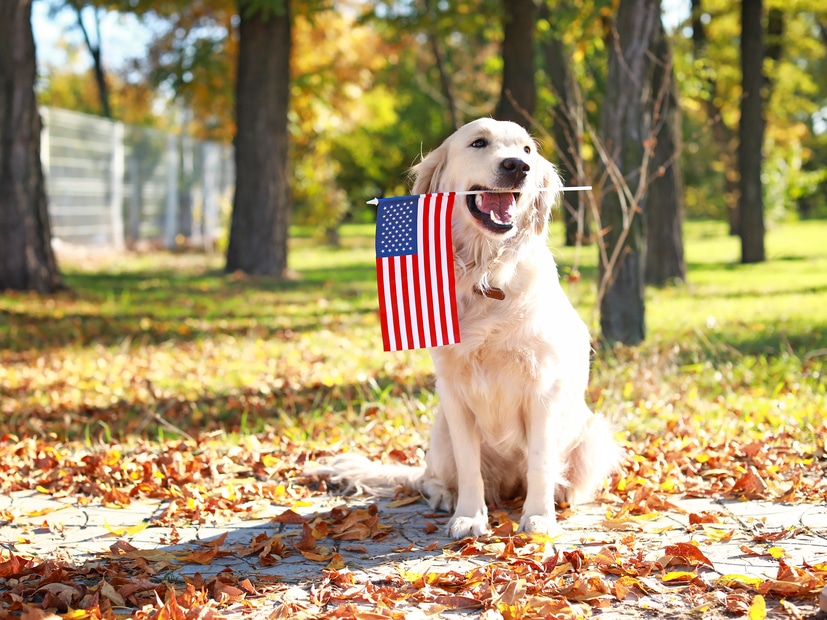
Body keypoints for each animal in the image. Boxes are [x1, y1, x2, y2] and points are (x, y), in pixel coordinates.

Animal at [312, 120, 620, 536]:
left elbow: (540, 462)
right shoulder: (454, 392)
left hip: (593, 433)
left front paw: (539, 516)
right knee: (429, 478)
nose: (517, 166)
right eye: (479, 143)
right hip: (440, 431)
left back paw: (560, 496)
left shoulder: (543, 389)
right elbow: (468, 466)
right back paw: (445, 496)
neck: (485, 273)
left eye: (526, 150)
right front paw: (469, 516)